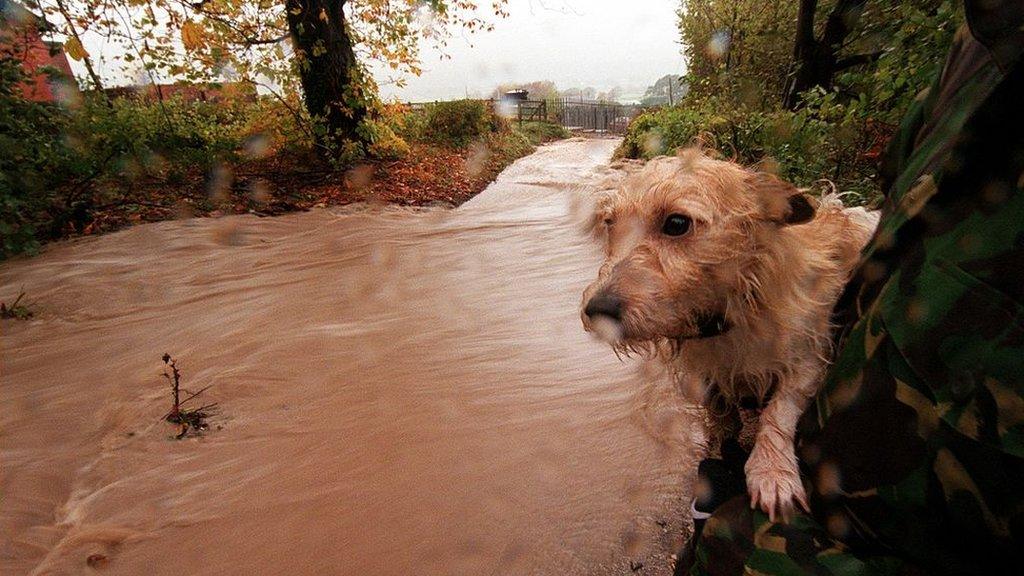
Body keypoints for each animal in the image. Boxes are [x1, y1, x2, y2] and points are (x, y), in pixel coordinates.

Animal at [581, 147, 876, 520]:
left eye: (677, 223)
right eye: (610, 223)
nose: (597, 309)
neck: (738, 307)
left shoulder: (811, 356)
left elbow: (780, 409)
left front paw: (771, 471)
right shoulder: (705, 375)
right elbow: (719, 410)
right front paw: (723, 441)